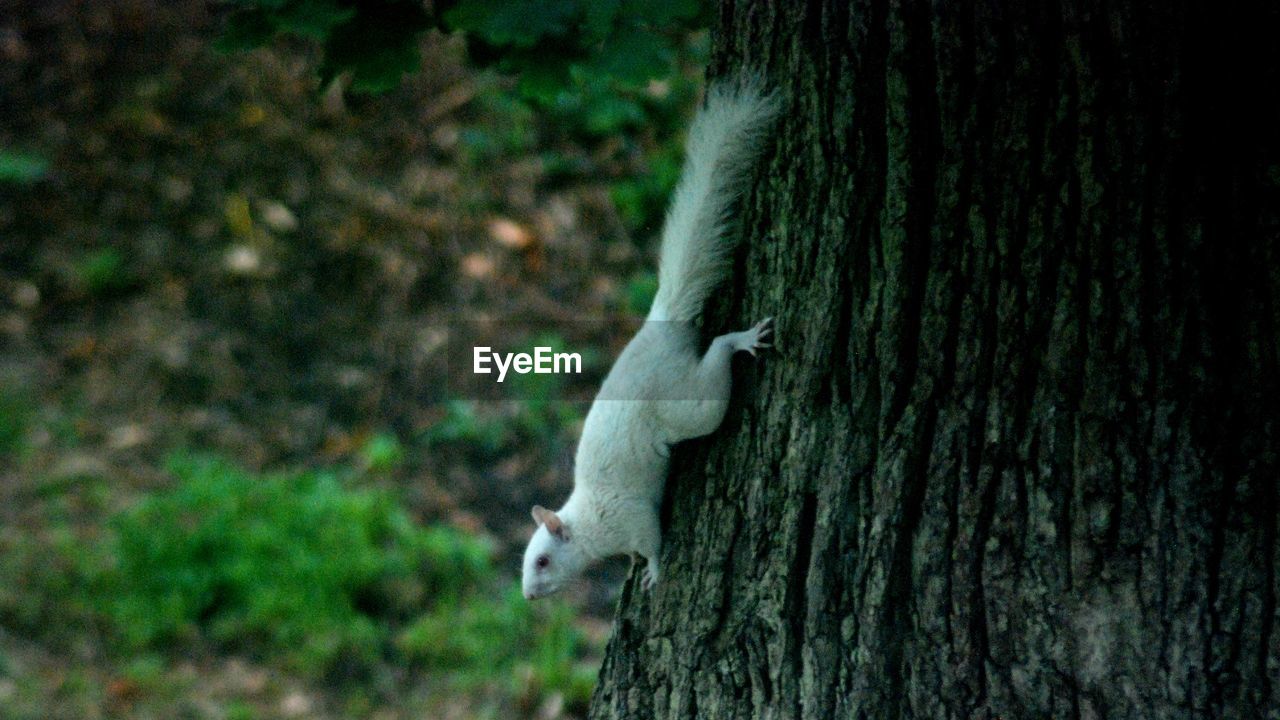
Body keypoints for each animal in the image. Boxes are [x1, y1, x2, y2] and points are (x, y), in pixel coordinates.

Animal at [519, 79, 778, 599]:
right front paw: (639, 564)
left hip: (687, 404)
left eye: (541, 561)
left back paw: (738, 340)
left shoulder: (627, 517)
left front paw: (653, 569)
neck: (586, 524)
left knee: (712, 373)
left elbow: (651, 539)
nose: (528, 595)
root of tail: (659, 323)